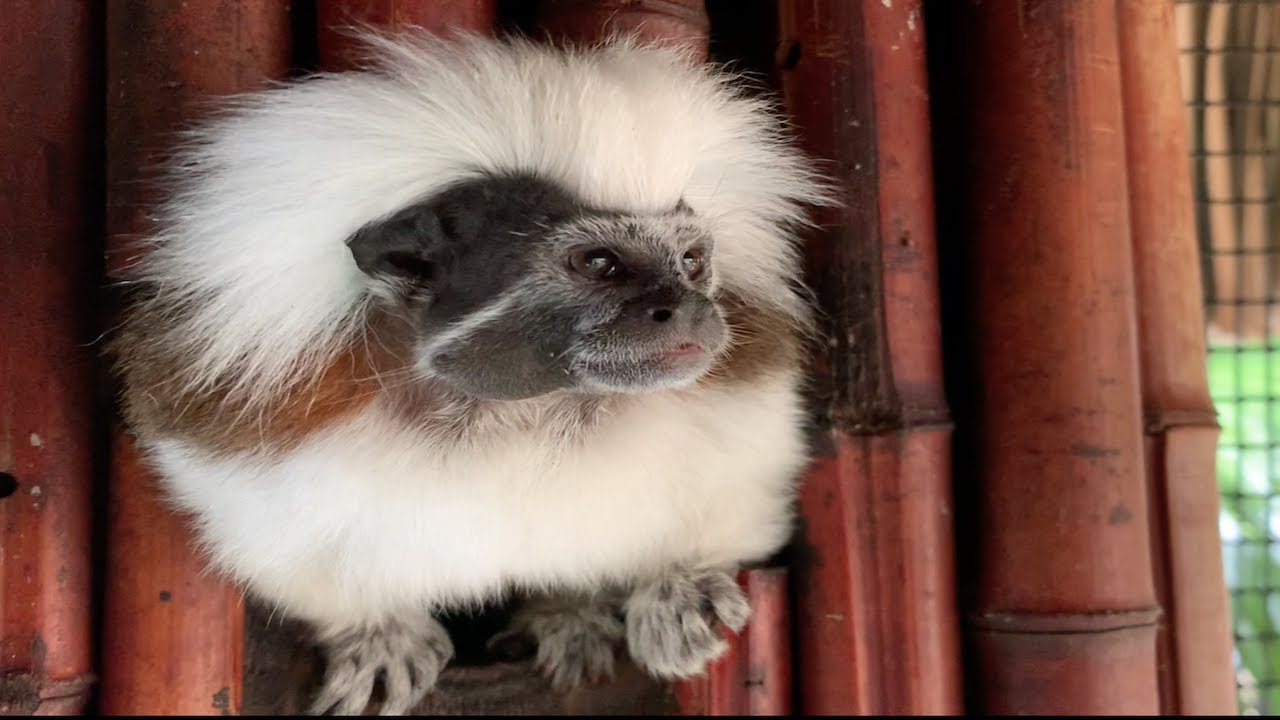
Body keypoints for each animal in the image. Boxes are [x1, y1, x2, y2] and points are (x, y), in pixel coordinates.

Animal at [110, 31, 832, 715]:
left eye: (690, 262)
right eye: (598, 264)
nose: (686, 309)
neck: (519, 414)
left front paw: (672, 586)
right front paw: (379, 633)